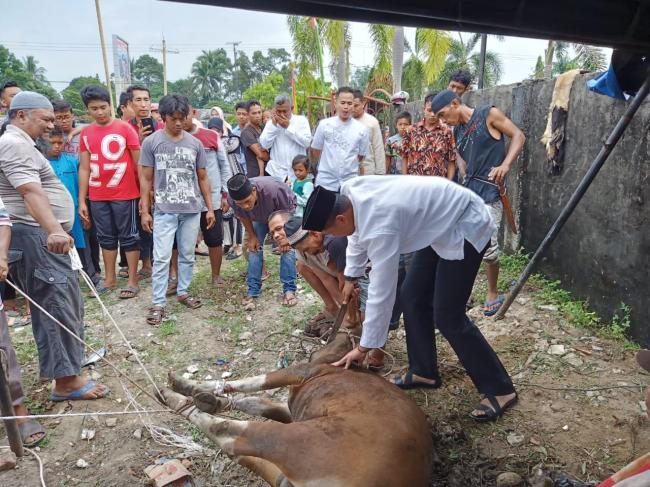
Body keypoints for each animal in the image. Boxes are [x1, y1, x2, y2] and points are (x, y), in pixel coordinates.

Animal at [158, 328, 432, 487]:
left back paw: (176, 401)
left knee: (228, 435)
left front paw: (192, 388)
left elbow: (255, 383)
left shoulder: (299, 372)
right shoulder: (293, 408)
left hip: (297, 439)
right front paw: (208, 396)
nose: (345, 335)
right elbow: (257, 402)